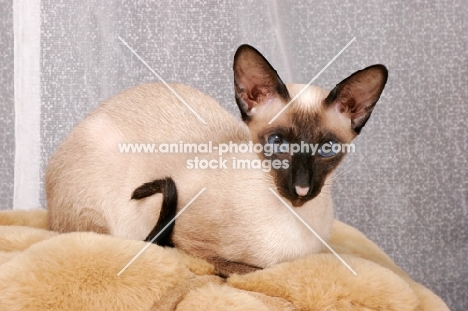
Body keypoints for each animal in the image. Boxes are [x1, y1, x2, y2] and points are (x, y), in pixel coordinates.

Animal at [45, 44, 388, 278]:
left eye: (327, 149)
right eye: (277, 143)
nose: (301, 188)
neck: (295, 220)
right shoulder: (186, 241)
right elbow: (248, 269)